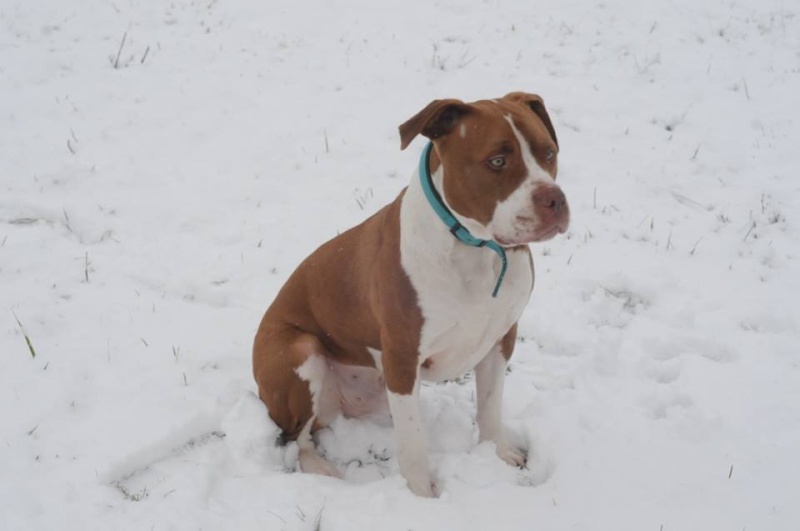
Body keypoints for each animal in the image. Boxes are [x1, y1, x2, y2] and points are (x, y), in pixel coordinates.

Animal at [253, 92, 572, 498]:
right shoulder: (402, 356)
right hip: (300, 350)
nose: (555, 200)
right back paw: (321, 469)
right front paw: (423, 496)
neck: (475, 246)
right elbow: (414, 441)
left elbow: (489, 406)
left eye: (549, 153)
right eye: (497, 161)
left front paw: (497, 453)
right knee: (297, 437)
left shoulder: (501, 339)